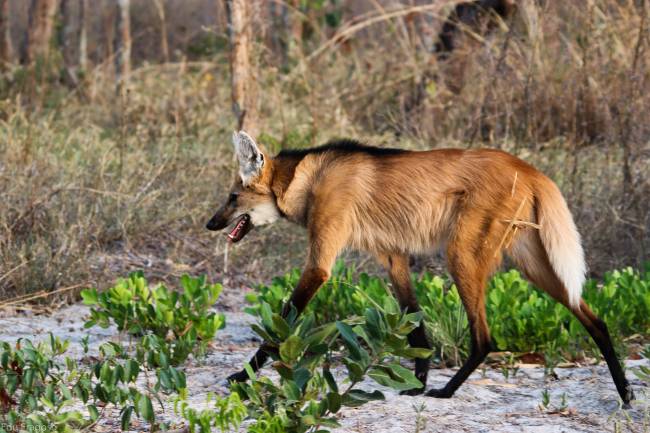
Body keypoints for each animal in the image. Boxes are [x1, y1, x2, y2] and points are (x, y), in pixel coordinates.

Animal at [206, 130, 632, 404]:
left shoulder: (321, 264)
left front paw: (240, 376)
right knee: (594, 318)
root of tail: (529, 168)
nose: (210, 223)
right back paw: (626, 392)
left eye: (232, 198)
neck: (306, 181)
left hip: (461, 254)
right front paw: (417, 381)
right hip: (534, 264)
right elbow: (415, 324)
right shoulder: (393, 257)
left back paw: (448, 390)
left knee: (485, 337)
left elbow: (281, 325)